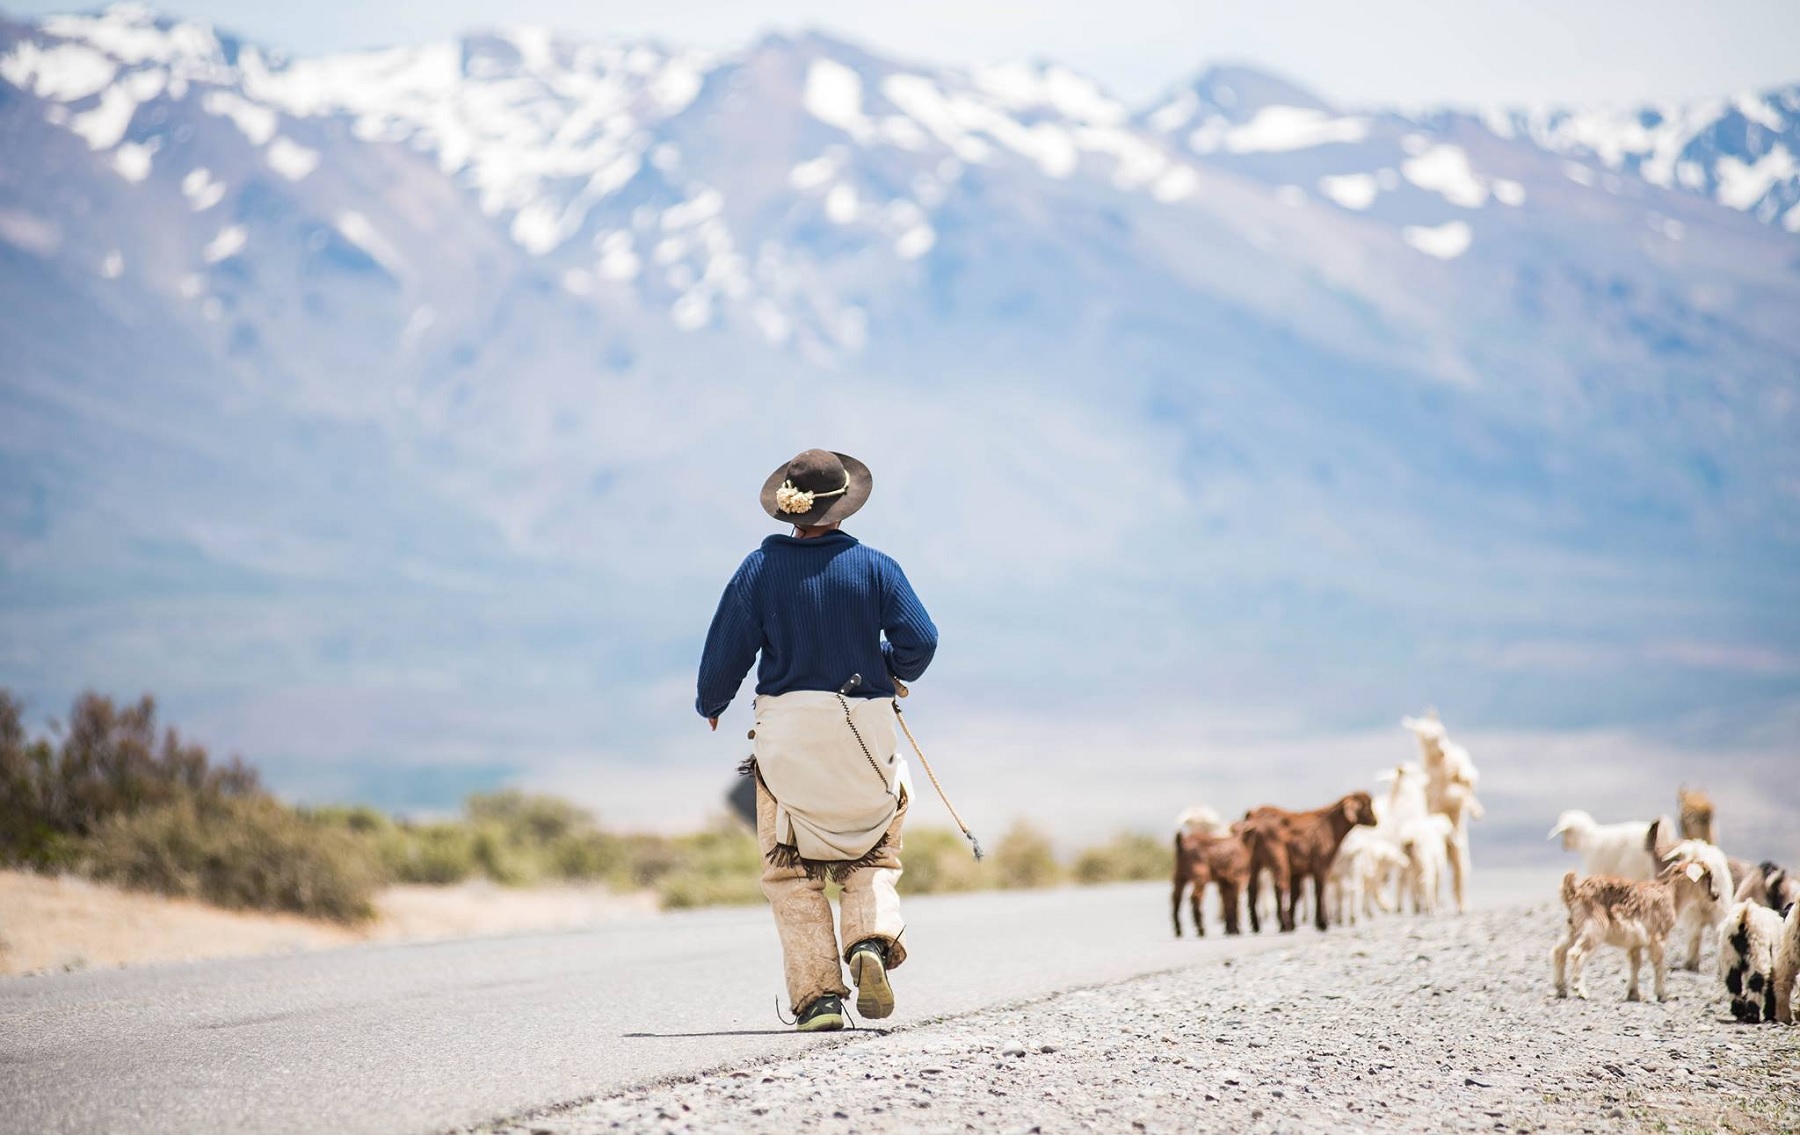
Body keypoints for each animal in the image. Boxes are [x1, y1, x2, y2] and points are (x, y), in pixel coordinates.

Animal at [1238, 795, 1375, 935]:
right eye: (1366, 806)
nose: (1375, 820)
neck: (1329, 825)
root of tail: (1253, 818)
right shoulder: (1320, 863)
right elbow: (1319, 890)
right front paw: (1322, 924)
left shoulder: (1298, 871)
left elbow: (1296, 894)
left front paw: (1294, 923)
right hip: (1278, 856)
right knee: (1279, 886)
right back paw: (1284, 924)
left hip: (1252, 861)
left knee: (1253, 889)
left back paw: (1257, 925)